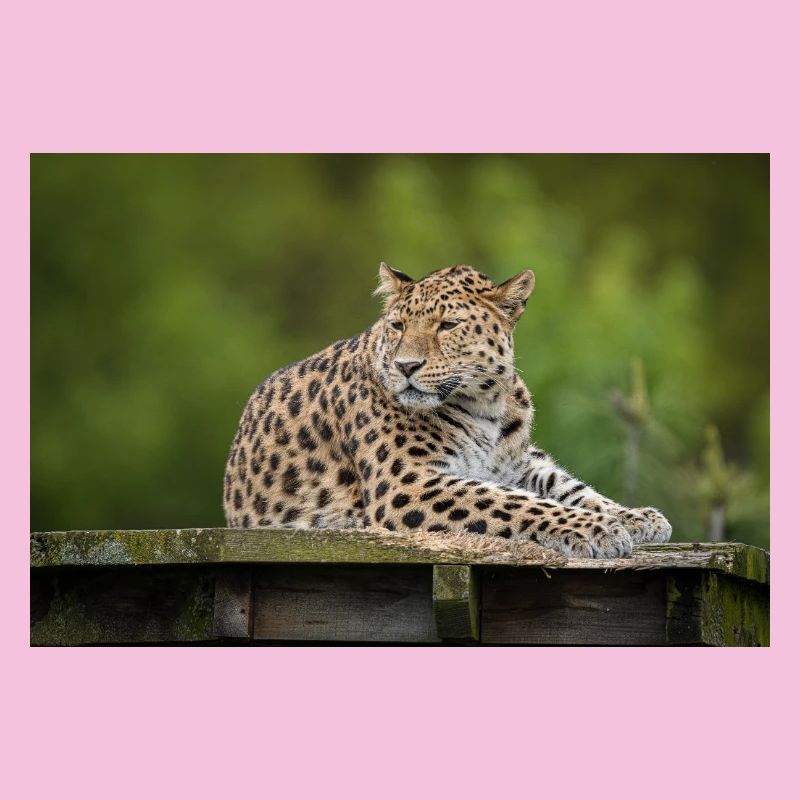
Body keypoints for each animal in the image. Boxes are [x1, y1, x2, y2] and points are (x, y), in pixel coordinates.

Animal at [223, 263, 672, 558]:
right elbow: (515, 503)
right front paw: (599, 529)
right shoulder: (406, 483)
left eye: (448, 325)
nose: (406, 366)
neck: (488, 404)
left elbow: (567, 487)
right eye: (398, 326)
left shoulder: (517, 462)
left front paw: (635, 517)